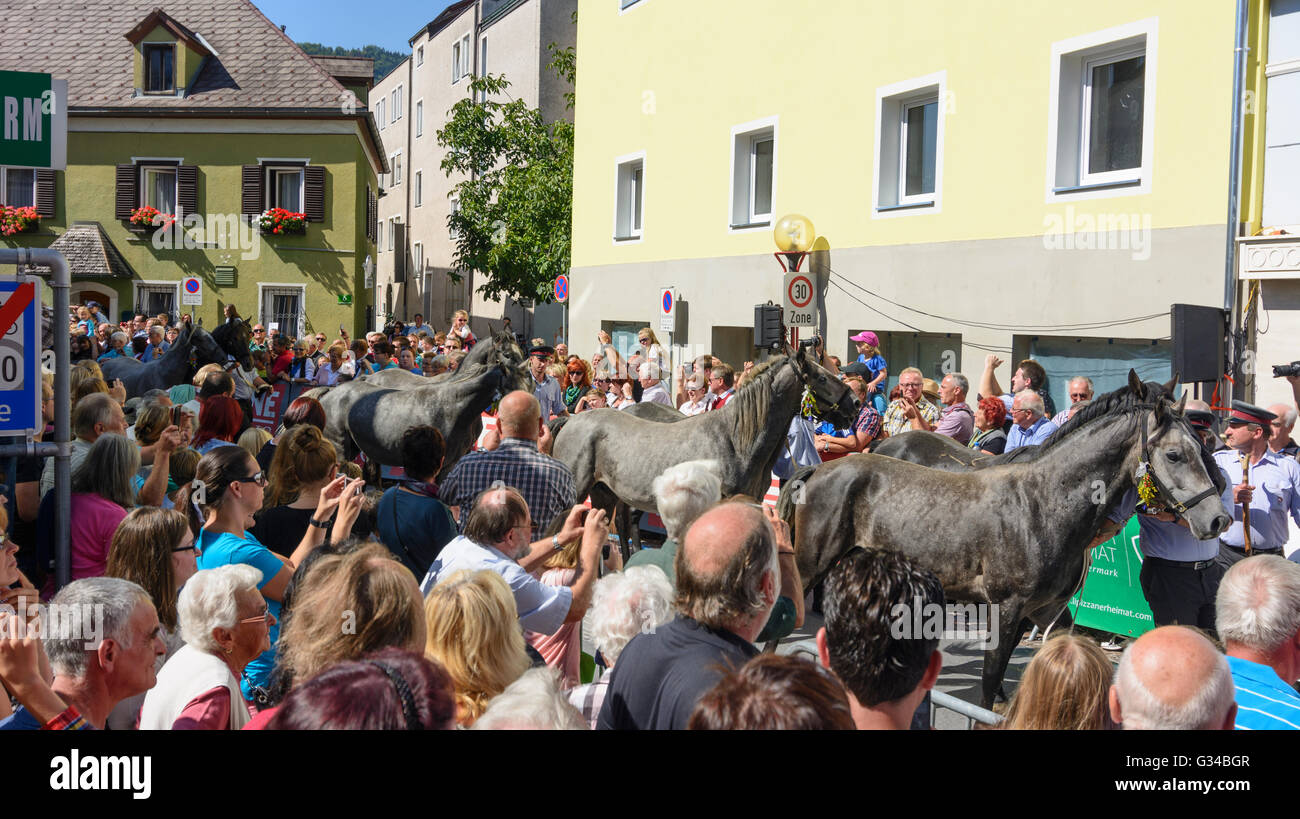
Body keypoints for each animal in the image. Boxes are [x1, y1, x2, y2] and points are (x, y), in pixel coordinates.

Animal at [780, 374, 1227, 712]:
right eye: (1174, 454)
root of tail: (818, 471)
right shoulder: (1007, 608)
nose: (1218, 519)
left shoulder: (1046, 611)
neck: (1042, 503)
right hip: (812, 564)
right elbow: (989, 680)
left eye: (1200, 445)